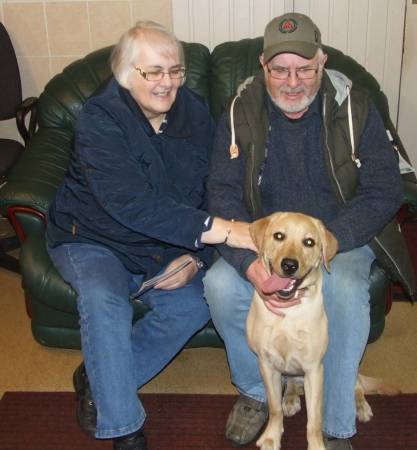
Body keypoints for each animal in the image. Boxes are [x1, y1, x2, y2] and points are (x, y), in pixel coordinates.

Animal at [247, 213, 396, 450]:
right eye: (279, 236)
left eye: (309, 242)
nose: (289, 265)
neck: (288, 313)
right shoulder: (267, 366)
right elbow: (274, 408)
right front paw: (272, 436)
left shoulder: (313, 370)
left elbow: (314, 420)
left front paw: (316, 444)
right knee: (290, 385)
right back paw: (290, 398)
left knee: (356, 386)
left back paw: (361, 406)